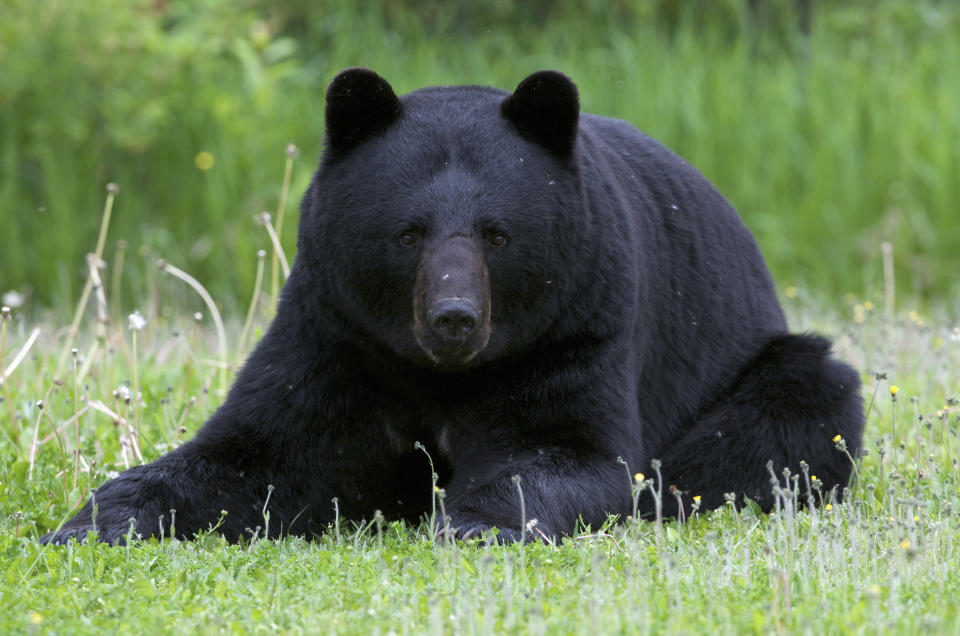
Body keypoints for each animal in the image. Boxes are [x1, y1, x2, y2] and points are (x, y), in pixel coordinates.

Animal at [39, 71, 864, 548]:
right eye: (408, 232)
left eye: (497, 233)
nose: (455, 318)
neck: (437, 372)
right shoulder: (333, 332)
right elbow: (260, 451)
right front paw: (95, 520)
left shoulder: (578, 329)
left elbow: (565, 451)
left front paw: (473, 520)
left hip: (767, 366)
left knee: (787, 416)